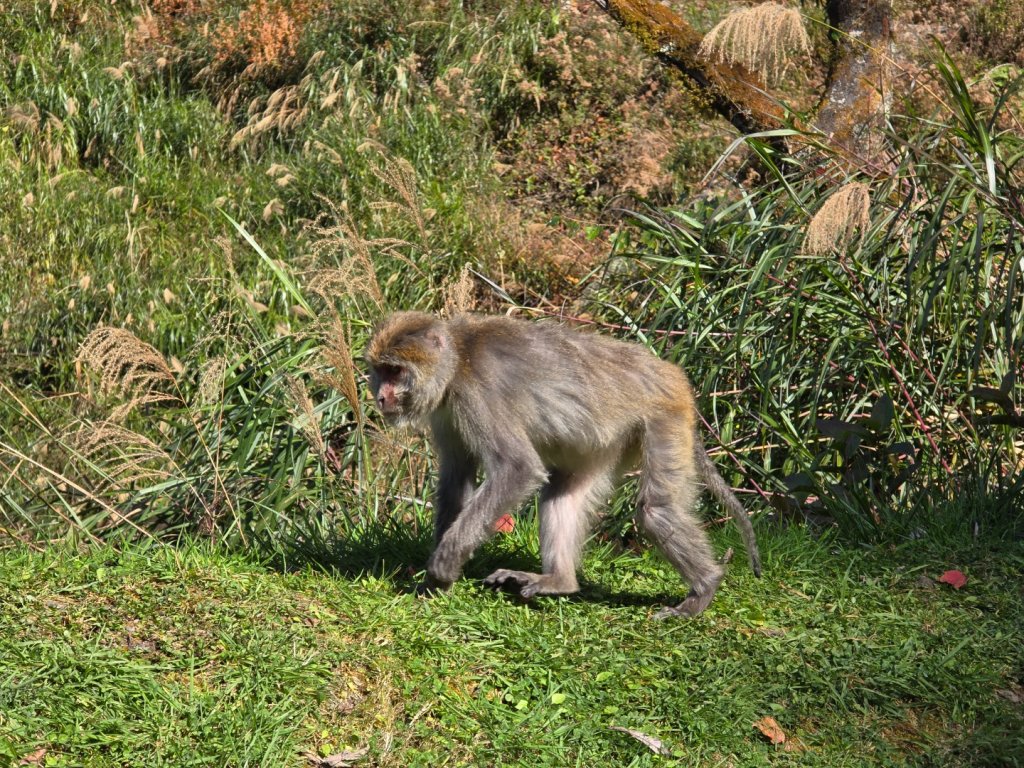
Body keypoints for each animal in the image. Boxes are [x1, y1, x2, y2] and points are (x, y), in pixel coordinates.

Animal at [366, 309, 761, 618]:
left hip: (666, 417)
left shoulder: (478, 394)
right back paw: (560, 582)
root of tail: (669, 373)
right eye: (379, 371)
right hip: (607, 443)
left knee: (656, 509)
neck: (457, 362)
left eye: (395, 371)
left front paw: (444, 564)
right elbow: (457, 478)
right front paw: (436, 576)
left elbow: (517, 469)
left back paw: (704, 587)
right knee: (562, 492)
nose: (380, 397)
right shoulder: (447, 411)